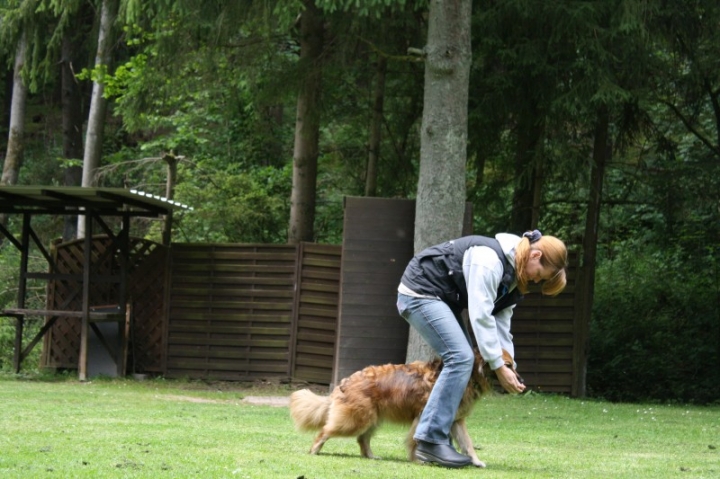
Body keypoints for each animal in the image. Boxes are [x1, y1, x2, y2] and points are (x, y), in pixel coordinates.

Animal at [286, 350, 516, 466]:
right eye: (508, 365)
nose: (520, 381)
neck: (469, 374)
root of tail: (345, 381)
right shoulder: (423, 416)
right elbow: (415, 440)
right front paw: (417, 459)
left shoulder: (456, 420)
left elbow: (467, 443)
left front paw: (476, 461)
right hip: (357, 419)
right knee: (325, 430)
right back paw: (315, 449)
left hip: (372, 419)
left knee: (362, 439)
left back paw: (371, 456)